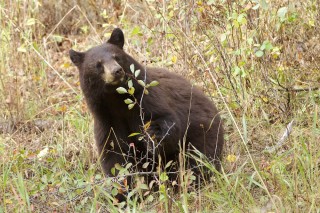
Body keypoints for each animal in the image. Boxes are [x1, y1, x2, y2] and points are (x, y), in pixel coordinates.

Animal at [69, 27, 224, 198]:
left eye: (117, 57)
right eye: (98, 64)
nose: (117, 71)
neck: (116, 100)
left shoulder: (147, 98)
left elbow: (166, 121)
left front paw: (152, 138)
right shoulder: (106, 121)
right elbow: (114, 157)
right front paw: (122, 195)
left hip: (202, 136)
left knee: (198, 161)